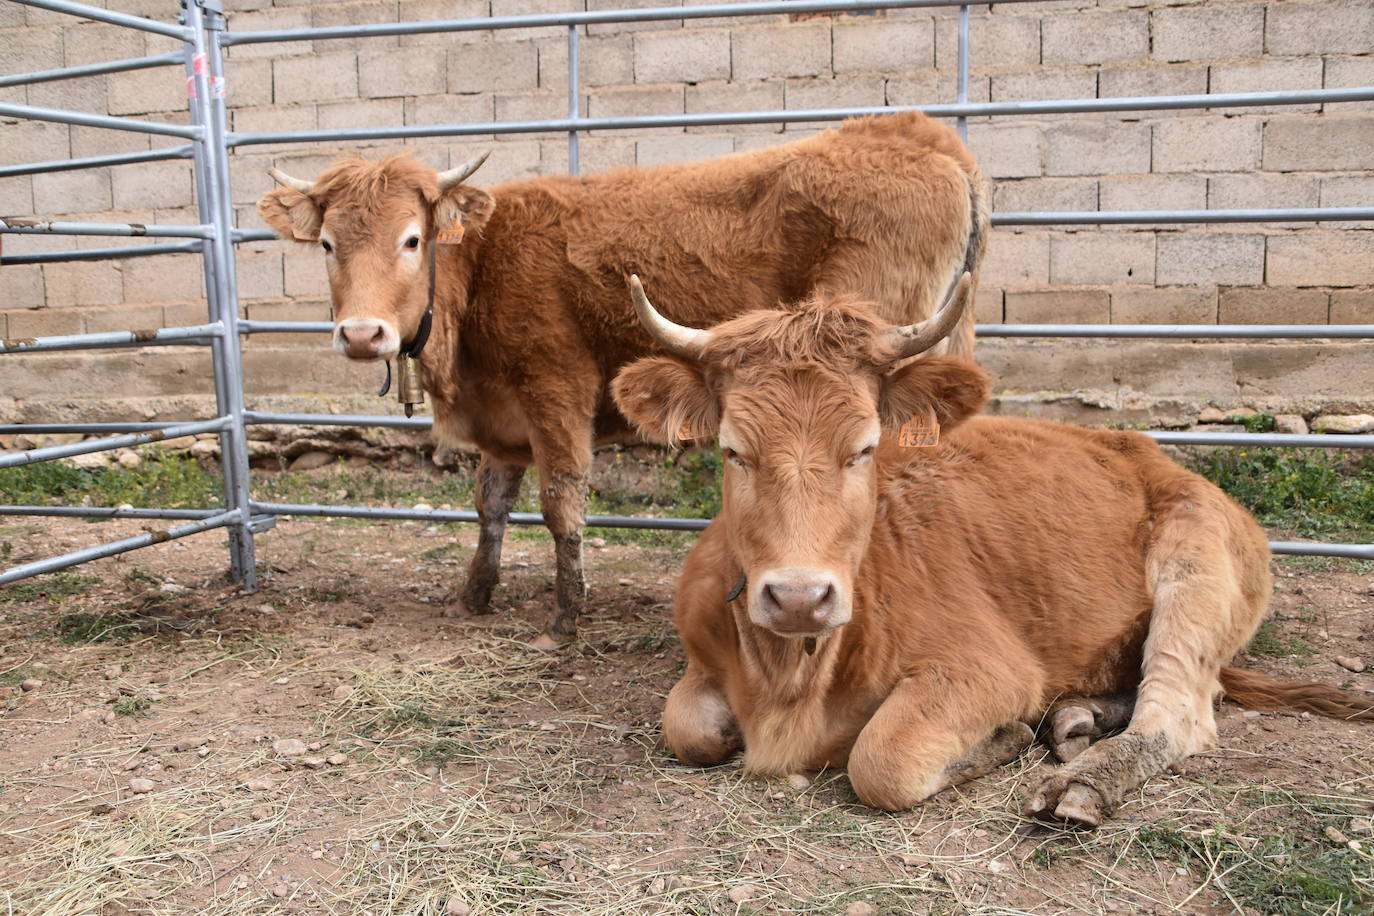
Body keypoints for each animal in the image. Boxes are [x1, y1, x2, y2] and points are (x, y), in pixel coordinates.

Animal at [258, 111, 989, 648]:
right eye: (327, 244)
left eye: (412, 239)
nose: (362, 334)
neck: (484, 268)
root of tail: (919, 136)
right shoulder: (502, 423)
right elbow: (490, 505)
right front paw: (474, 595)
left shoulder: (555, 390)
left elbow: (561, 504)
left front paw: (565, 619)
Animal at [612, 274, 1374, 823]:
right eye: (732, 451)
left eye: (864, 448)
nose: (799, 598)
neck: (790, 677)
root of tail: (1149, 453)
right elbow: (686, 725)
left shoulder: (987, 666)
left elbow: (881, 760)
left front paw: (1003, 738)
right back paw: (1073, 718)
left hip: (1197, 567)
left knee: (1178, 707)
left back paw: (1084, 779)